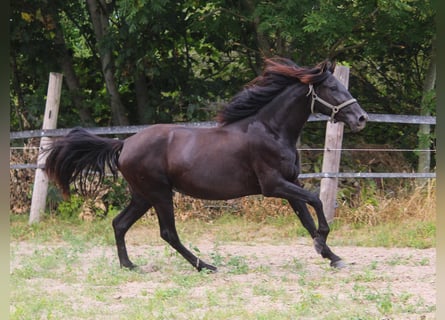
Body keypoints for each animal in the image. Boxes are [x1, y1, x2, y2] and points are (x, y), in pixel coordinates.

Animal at [44, 58, 368, 272]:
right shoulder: (274, 185)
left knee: (119, 223)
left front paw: (331, 255)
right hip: (160, 194)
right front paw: (323, 244)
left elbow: (306, 218)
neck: (271, 130)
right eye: (331, 87)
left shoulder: (290, 184)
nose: (361, 118)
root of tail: (124, 144)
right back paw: (205, 265)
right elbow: (317, 202)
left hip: (142, 195)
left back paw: (129, 265)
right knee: (167, 233)